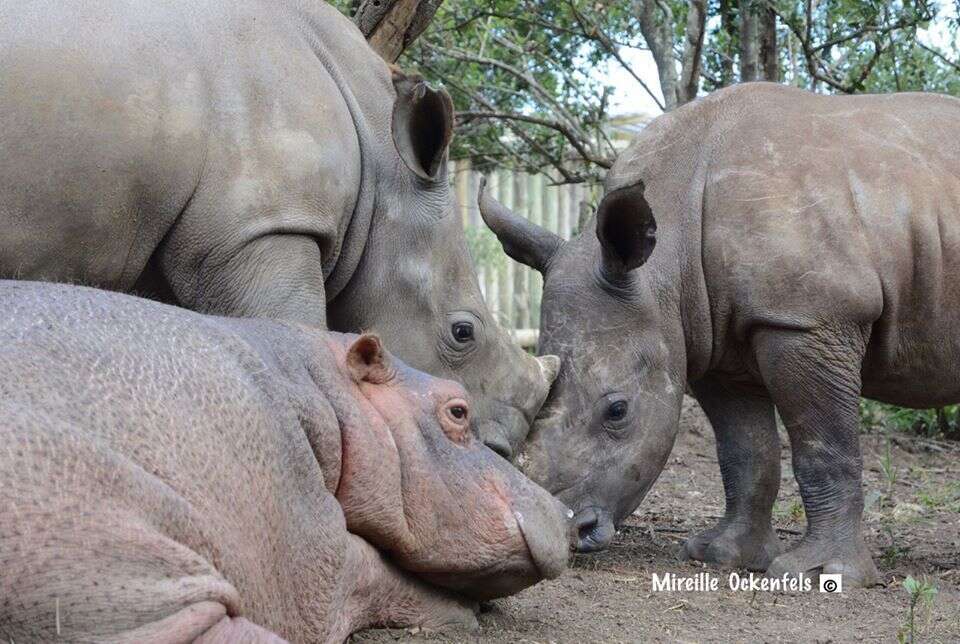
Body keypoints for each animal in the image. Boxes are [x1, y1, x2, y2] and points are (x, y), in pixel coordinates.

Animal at [0, 282, 568, 644]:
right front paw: (463, 615)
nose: (562, 510)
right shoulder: (310, 541)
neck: (318, 385)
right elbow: (368, 571)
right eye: (457, 409)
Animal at [484, 82, 960, 588]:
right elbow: (745, 451)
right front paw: (722, 555)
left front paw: (818, 573)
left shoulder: (806, 318)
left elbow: (823, 446)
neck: (668, 261)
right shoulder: (711, 337)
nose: (572, 531)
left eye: (617, 411)